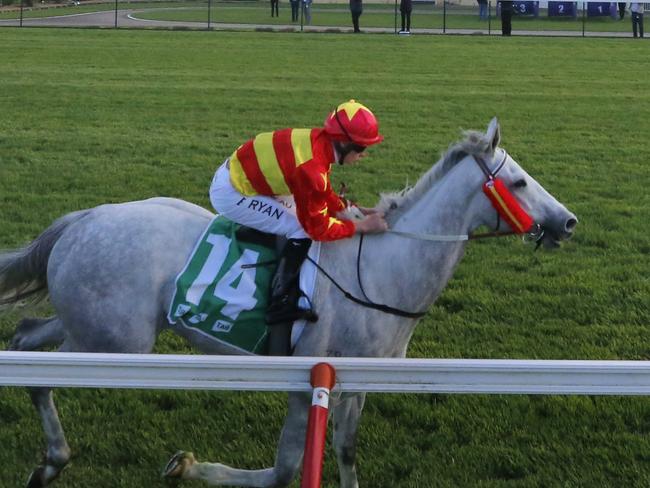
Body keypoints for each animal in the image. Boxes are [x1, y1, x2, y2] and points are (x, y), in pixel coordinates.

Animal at [1, 119, 576, 488]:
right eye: (519, 181)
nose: (567, 222)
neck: (382, 270)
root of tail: (84, 219)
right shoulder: (306, 383)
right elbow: (283, 470)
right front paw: (188, 466)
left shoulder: (359, 382)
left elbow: (345, 450)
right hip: (117, 342)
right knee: (43, 374)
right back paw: (54, 459)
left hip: (92, 325)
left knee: (27, 336)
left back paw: (47, 457)